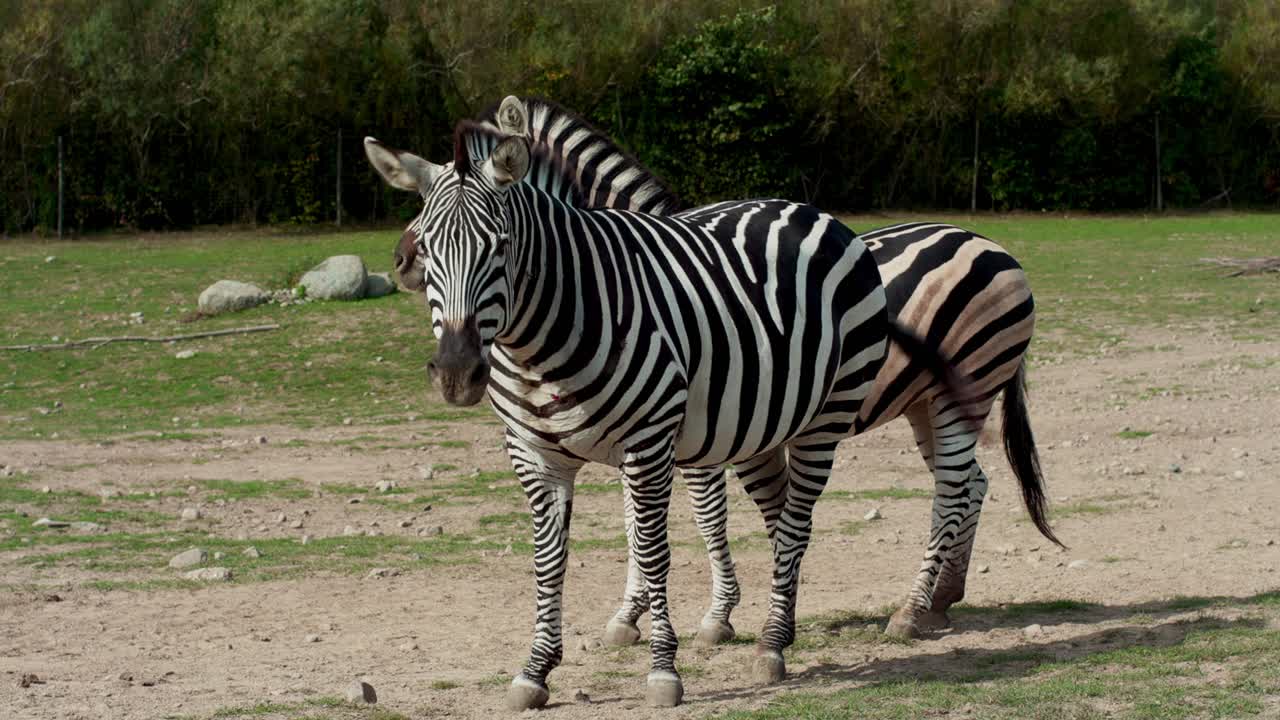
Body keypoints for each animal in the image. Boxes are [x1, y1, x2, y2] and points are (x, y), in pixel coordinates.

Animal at [363, 121, 978, 708]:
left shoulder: (652, 441)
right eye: (429, 249)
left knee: (809, 518)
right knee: (785, 515)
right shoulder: (534, 454)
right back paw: (788, 626)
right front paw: (535, 671)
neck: (543, 339)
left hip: (832, 414)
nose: (456, 374)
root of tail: (812, 210)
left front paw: (664, 668)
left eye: (501, 246)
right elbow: (550, 560)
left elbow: (654, 549)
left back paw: (778, 644)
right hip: (766, 423)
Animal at [478, 96, 1060, 644]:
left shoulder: (688, 430)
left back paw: (912, 610)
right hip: (924, 402)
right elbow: (634, 520)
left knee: (952, 491)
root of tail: (991, 244)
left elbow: (706, 517)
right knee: (971, 483)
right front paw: (632, 613)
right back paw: (942, 596)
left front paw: (718, 615)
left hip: (966, 389)